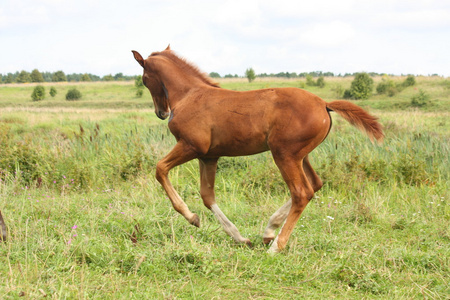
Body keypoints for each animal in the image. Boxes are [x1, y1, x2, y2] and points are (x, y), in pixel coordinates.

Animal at [132, 47, 382, 252]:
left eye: (144, 79)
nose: (161, 112)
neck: (189, 95)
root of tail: (324, 104)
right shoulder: (209, 156)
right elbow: (207, 196)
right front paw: (240, 238)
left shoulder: (191, 146)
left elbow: (160, 169)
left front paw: (191, 217)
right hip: (301, 155)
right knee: (315, 185)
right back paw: (269, 231)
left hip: (284, 154)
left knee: (302, 192)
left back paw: (276, 245)